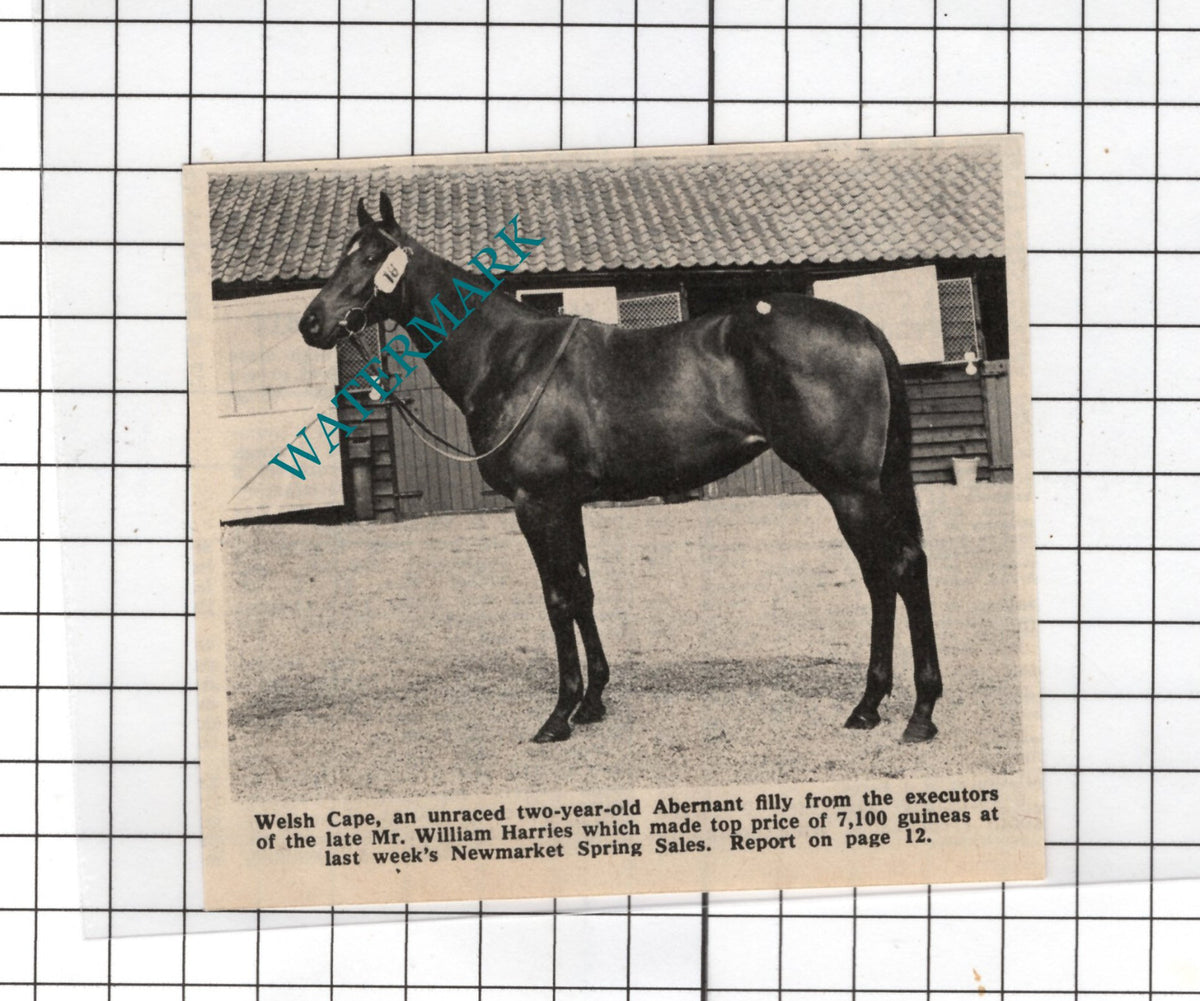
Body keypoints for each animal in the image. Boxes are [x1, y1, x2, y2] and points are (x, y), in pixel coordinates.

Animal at [299, 192, 942, 745]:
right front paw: (592, 702)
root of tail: (861, 325)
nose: (311, 323)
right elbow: (583, 591)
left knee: (897, 570)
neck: (510, 356)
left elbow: (558, 598)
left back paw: (913, 712)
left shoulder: (536, 502)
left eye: (373, 256)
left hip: (849, 487)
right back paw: (875, 707)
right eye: (344, 251)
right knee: (889, 575)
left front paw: (558, 714)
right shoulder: (567, 503)